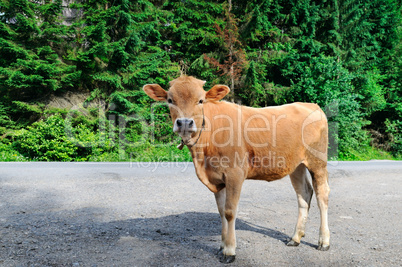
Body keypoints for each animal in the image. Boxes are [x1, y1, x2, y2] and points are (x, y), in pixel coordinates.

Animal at [144, 75, 330, 264]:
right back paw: (295, 238)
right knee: (304, 194)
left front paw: (229, 250)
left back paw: (324, 241)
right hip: (296, 165)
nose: (184, 123)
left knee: (322, 195)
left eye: (201, 100)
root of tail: (311, 105)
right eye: (170, 100)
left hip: (318, 161)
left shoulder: (235, 174)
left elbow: (229, 211)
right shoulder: (216, 177)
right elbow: (221, 212)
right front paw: (222, 245)